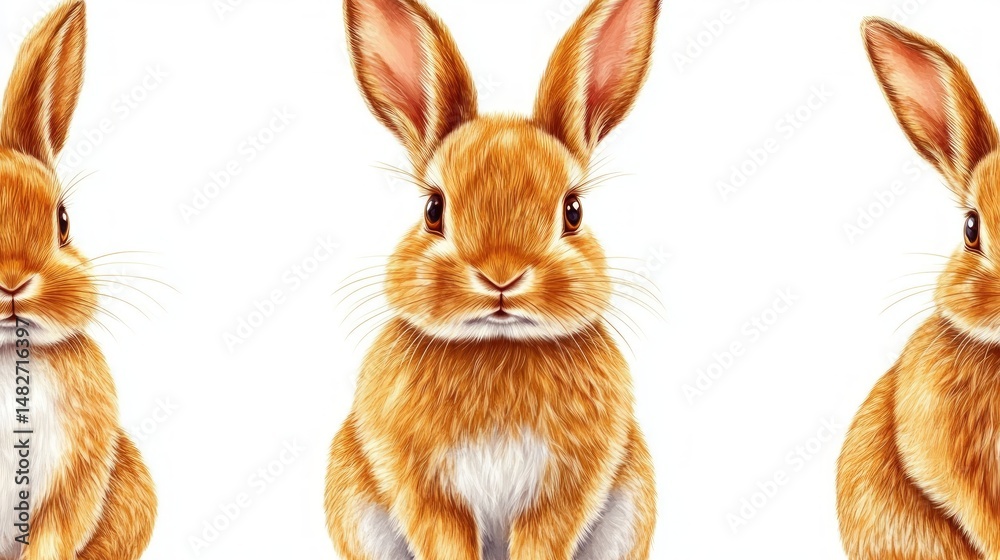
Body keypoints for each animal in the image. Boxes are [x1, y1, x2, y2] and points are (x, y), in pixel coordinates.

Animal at [325, 0, 661, 558]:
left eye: (573, 211)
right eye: (433, 210)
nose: (501, 275)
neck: (498, 345)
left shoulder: (561, 493)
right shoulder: (425, 491)